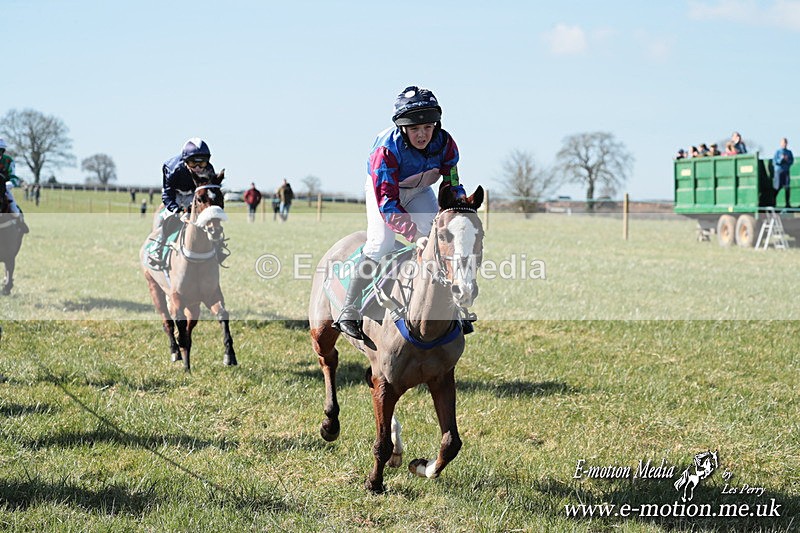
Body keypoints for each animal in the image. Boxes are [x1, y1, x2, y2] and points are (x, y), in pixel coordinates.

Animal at [140, 171, 236, 372]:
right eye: (199, 199)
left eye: (221, 198)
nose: (214, 230)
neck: (196, 257)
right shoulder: (176, 298)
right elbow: (179, 327)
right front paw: (185, 364)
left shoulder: (211, 294)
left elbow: (222, 315)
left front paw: (229, 355)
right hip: (154, 288)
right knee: (167, 322)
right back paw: (175, 351)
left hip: (194, 304)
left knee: (190, 325)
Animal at [309, 185, 485, 493]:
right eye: (444, 235)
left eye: (481, 235)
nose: (464, 289)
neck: (423, 326)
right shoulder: (387, 380)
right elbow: (381, 443)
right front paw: (374, 482)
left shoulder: (442, 378)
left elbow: (451, 442)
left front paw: (423, 466)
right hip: (321, 329)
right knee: (328, 360)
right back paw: (330, 423)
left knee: (366, 380)